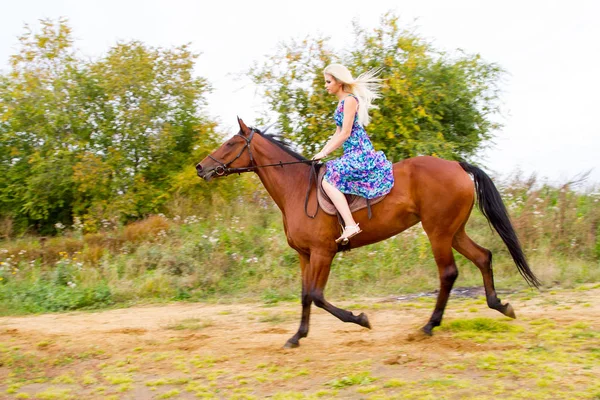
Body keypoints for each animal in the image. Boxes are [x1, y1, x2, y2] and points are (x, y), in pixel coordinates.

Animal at [196, 118, 540, 346]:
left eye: (230, 143)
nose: (201, 168)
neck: (296, 189)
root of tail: (457, 166)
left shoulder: (323, 253)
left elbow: (316, 296)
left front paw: (360, 319)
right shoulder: (305, 255)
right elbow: (305, 296)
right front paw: (297, 336)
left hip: (438, 233)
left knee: (449, 273)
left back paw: (429, 326)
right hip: (453, 231)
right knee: (483, 257)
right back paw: (499, 305)